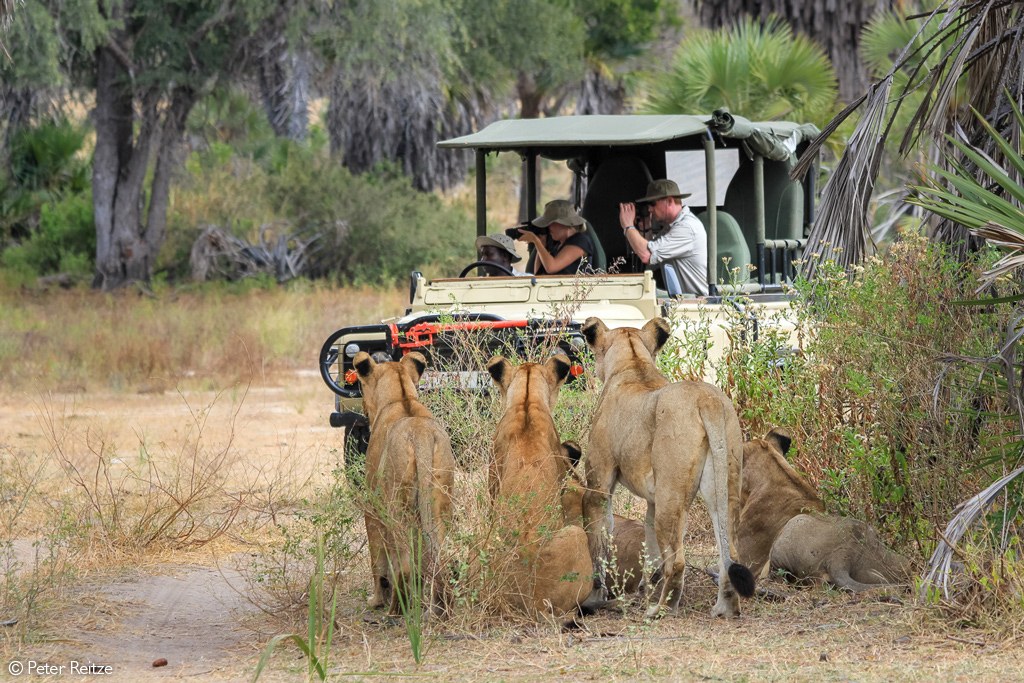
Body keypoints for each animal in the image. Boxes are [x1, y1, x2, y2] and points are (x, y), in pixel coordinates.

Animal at [354, 351, 456, 616]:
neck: (402, 397)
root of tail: (420, 435)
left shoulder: (373, 508)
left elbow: (377, 558)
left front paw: (376, 600)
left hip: (397, 507)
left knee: (404, 562)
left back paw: (395, 610)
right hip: (440, 500)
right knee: (439, 555)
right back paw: (440, 608)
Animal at [581, 317, 754, 618]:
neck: (633, 363)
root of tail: (705, 398)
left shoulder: (599, 484)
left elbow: (599, 542)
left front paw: (595, 598)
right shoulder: (651, 498)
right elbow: (649, 547)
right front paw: (644, 590)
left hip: (670, 495)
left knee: (678, 560)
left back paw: (661, 609)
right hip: (723, 482)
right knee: (729, 550)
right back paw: (725, 608)